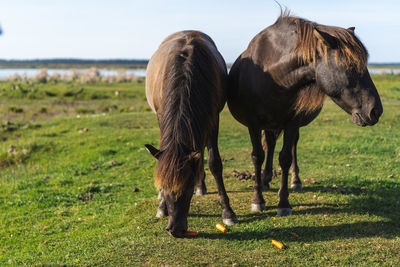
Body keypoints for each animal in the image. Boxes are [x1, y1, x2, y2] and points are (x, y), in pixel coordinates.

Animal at [144, 30, 238, 238]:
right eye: (164, 187)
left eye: (186, 190)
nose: (175, 230)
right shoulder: (162, 117)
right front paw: (162, 205)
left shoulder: (213, 118)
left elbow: (214, 163)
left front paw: (227, 211)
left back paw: (201, 185)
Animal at [227, 13, 382, 218]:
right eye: (349, 66)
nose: (375, 111)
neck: (274, 75)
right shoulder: (254, 124)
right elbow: (257, 156)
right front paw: (258, 200)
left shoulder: (291, 123)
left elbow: (285, 158)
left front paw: (283, 203)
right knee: (270, 144)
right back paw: (265, 180)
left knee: (290, 146)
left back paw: (294, 181)